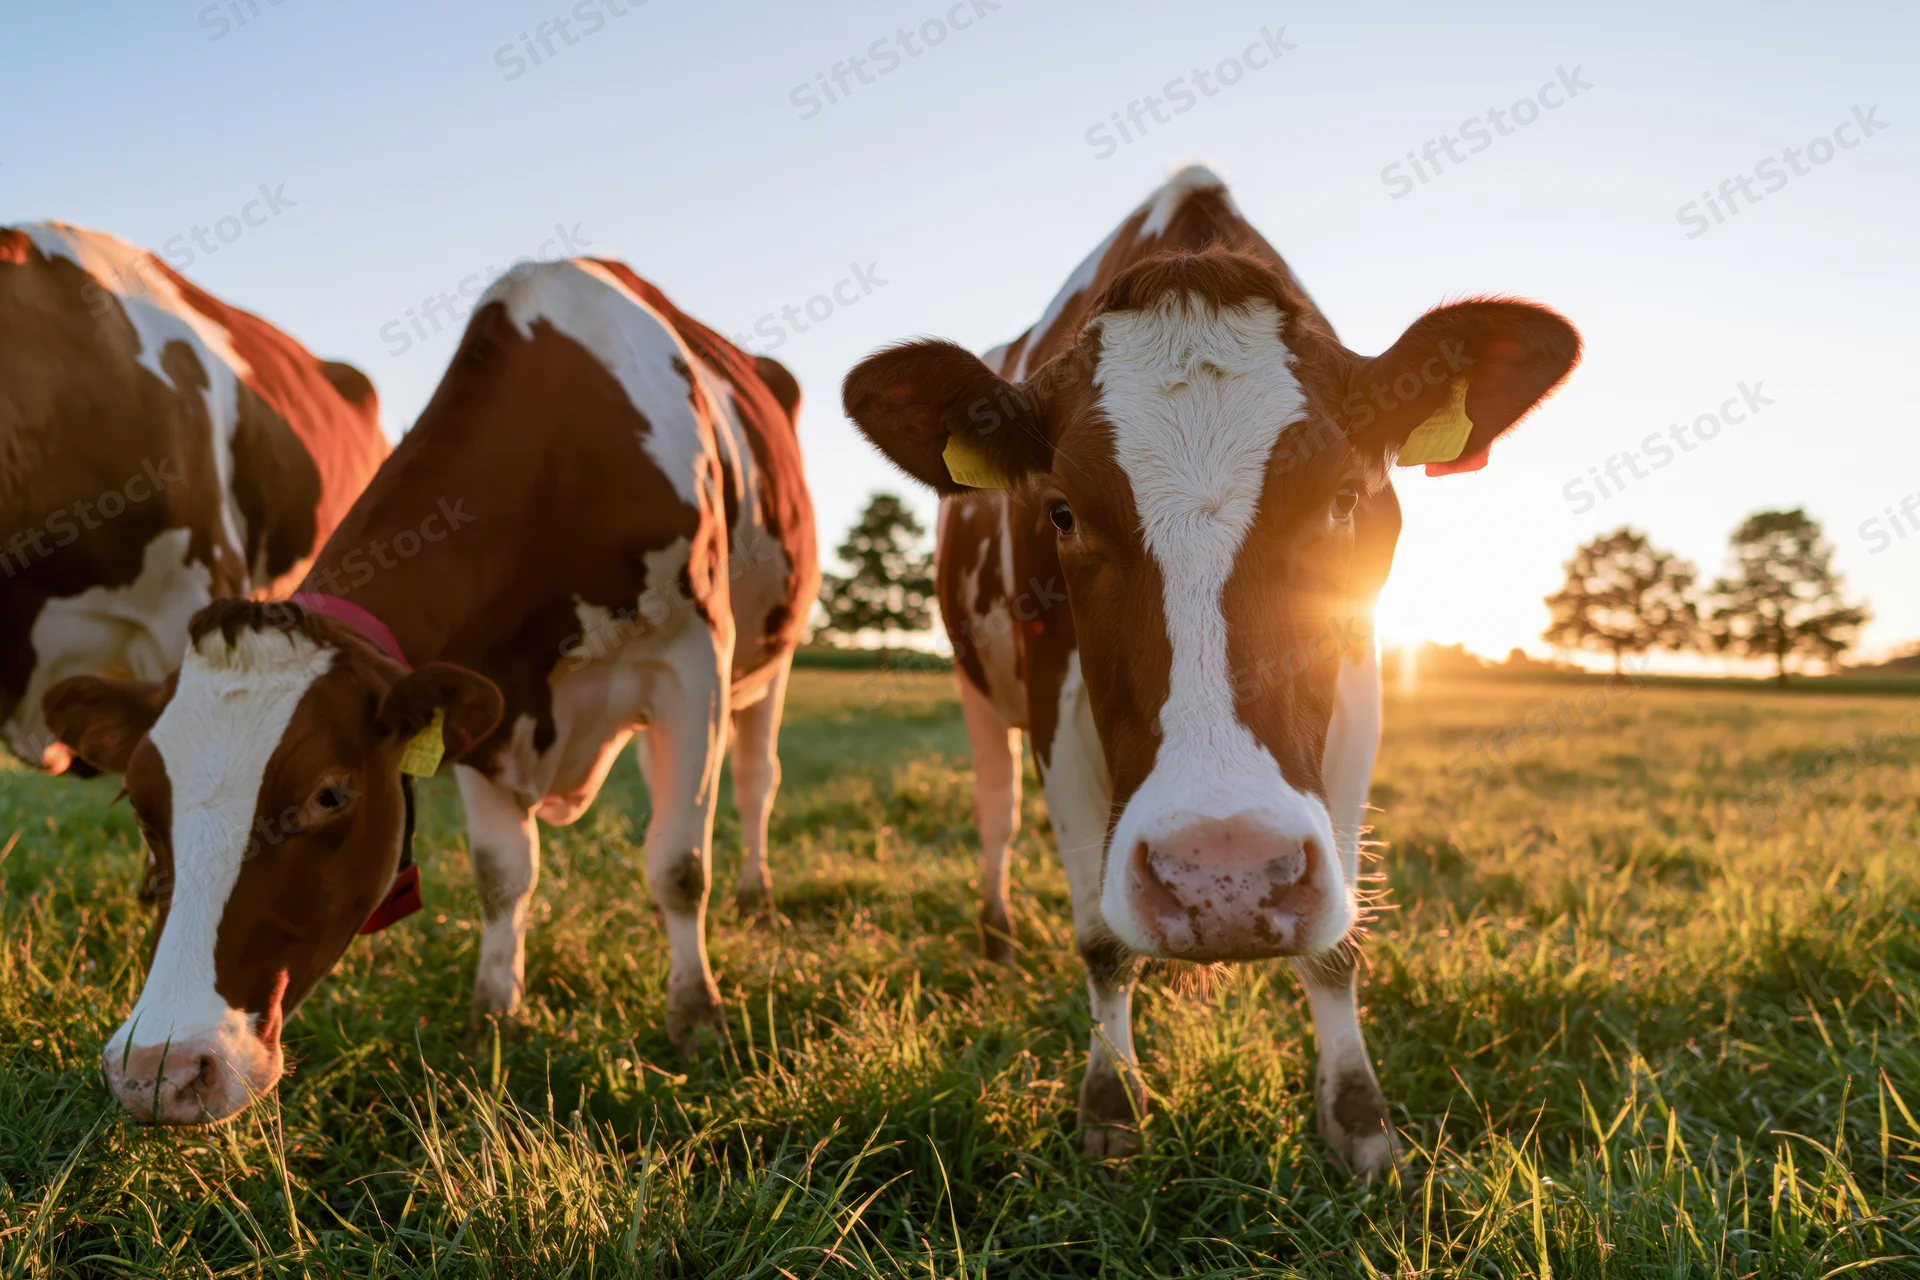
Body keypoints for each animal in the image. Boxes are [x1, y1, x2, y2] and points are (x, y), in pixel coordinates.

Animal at [42, 258, 818, 1125]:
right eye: (142, 804)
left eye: (329, 795)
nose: (160, 1072)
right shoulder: (488, 707)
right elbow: (502, 872)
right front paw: (494, 1015)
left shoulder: (691, 664)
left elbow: (678, 864)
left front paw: (697, 1024)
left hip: (767, 663)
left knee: (752, 782)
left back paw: (757, 892)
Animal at [842, 165, 1579, 1175]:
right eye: (1061, 511)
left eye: (1344, 497)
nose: (1219, 877)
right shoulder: (1057, 704)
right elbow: (1100, 939)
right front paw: (1112, 1110)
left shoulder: (1359, 686)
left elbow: (1338, 946)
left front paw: (1361, 1125)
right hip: (975, 685)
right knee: (995, 809)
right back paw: (997, 939)